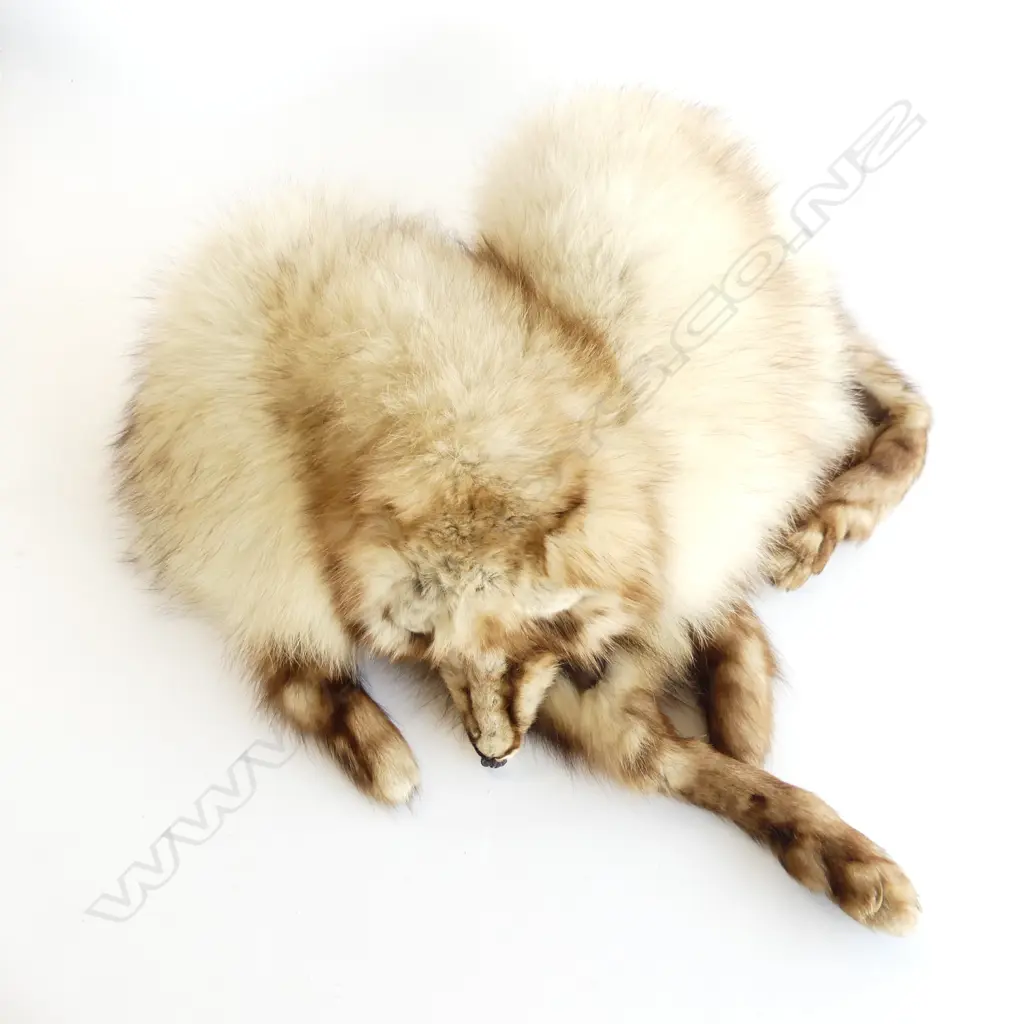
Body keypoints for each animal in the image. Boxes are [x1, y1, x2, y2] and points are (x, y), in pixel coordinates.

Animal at [113, 87, 929, 933]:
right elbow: (718, 769)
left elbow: (725, 665)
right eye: (426, 649)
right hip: (252, 521)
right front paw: (834, 848)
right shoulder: (602, 698)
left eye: (521, 643)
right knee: (290, 667)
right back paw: (379, 751)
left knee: (909, 402)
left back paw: (831, 519)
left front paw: (749, 717)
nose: (490, 757)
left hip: (809, 325)